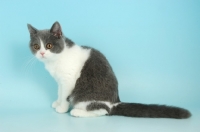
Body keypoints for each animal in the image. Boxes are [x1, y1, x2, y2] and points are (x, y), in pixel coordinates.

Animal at [27, 21, 191, 118]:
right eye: (36, 46)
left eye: (49, 45)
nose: (42, 53)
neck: (56, 60)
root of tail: (115, 102)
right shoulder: (60, 81)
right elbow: (60, 93)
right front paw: (58, 103)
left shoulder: (68, 80)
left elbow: (65, 95)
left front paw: (62, 108)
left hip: (85, 96)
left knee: (104, 111)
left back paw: (77, 111)